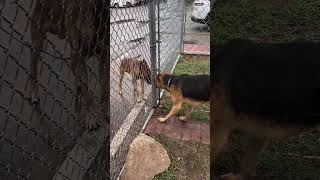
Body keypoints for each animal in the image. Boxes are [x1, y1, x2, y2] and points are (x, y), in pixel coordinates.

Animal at [29, 0, 109, 129]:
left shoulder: (104, 57)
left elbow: (106, 86)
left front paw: (106, 110)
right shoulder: (78, 57)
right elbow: (88, 94)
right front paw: (90, 117)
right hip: (38, 38)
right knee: (34, 66)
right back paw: (33, 92)